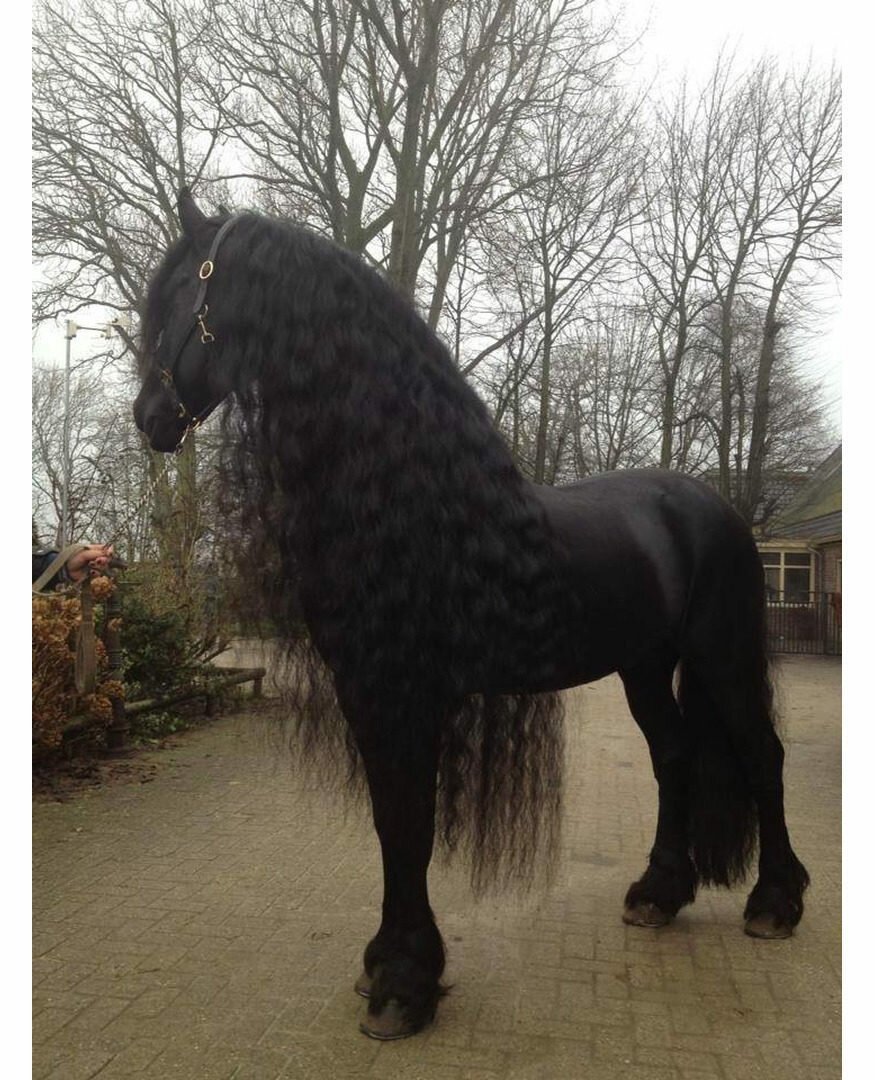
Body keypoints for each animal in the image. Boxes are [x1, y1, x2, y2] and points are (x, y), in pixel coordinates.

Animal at [133, 189, 809, 1040]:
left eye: (187, 293)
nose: (149, 417)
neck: (410, 499)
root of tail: (708, 505)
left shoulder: (411, 688)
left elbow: (411, 821)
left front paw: (404, 981)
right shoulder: (365, 688)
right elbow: (391, 819)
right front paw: (387, 963)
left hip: (720, 654)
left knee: (761, 756)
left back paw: (774, 904)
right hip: (645, 667)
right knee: (673, 757)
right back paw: (658, 893)